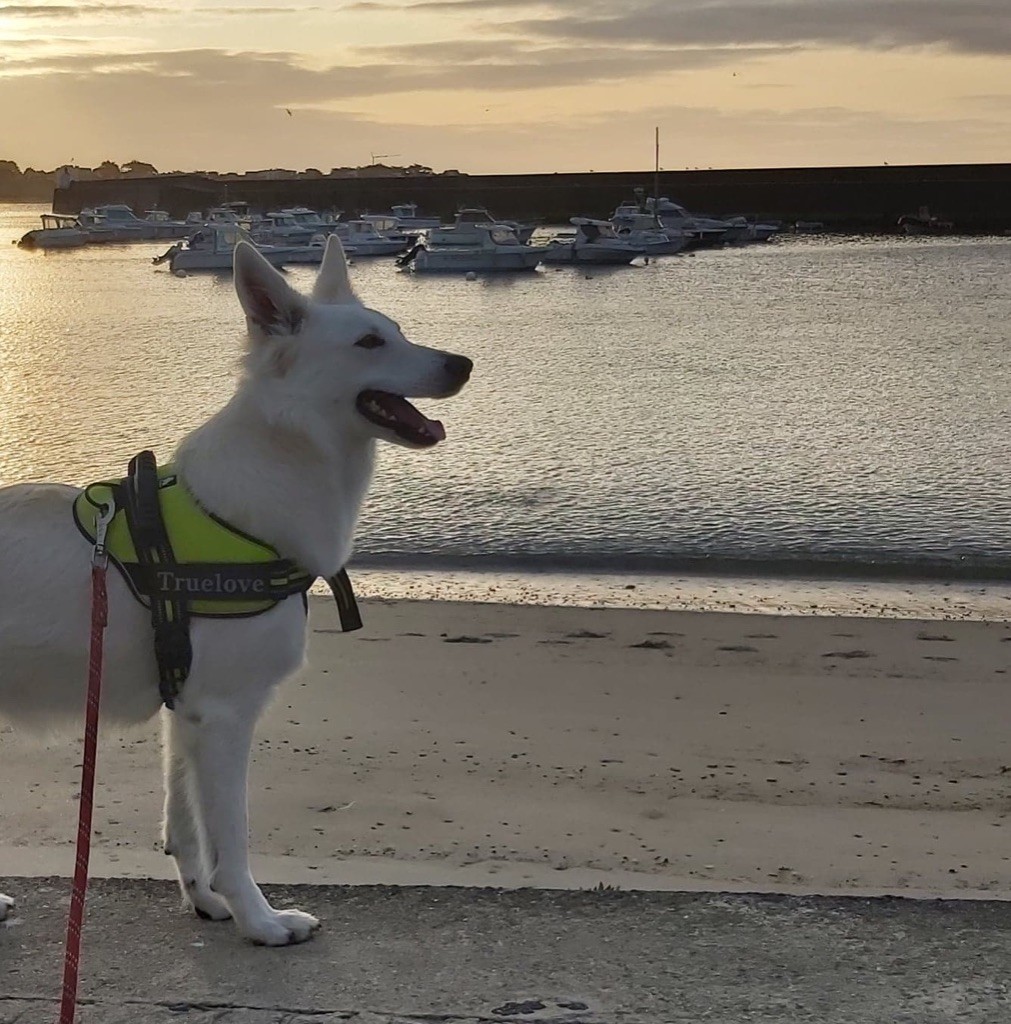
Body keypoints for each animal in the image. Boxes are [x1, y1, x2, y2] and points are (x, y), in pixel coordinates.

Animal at [0, 237, 475, 942]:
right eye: (369, 342)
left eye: (397, 331)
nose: (463, 364)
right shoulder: (225, 717)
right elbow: (232, 837)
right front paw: (260, 920)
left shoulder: (187, 715)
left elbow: (185, 830)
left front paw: (207, 902)